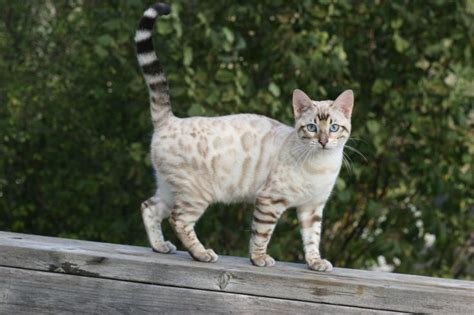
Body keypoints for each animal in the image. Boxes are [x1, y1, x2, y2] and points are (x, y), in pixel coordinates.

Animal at [133, 2, 352, 272]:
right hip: (197, 193)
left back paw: (161, 247)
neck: (322, 165)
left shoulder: (312, 208)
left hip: (171, 188)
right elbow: (261, 234)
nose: (323, 141)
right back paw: (202, 253)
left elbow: (312, 239)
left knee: (149, 207)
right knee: (178, 220)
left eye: (334, 128)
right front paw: (259, 259)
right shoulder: (270, 200)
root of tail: (170, 119)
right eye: (312, 127)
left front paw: (316, 263)